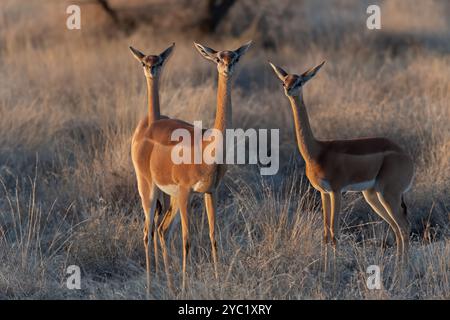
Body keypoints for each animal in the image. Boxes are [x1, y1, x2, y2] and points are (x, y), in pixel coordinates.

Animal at [134, 40, 253, 292]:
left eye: (235, 57)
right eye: (217, 58)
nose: (227, 67)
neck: (208, 147)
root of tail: (149, 125)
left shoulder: (211, 191)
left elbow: (213, 236)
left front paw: (217, 281)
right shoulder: (186, 192)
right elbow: (187, 240)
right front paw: (186, 286)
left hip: (172, 197)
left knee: (162, 230)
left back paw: (168, 284)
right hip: (149, 189)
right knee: (148, 232)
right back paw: (150, 285)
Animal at [268, 61, 414, 262]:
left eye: (299, 82)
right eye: (284, 81)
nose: (288, 90)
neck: (317, 152)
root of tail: (406, 156)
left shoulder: (336, 191)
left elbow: (334, 233)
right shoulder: (323, 193)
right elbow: (325, 233)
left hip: (388, 194)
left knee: (404, 227)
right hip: (372, 195)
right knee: (396, 227)